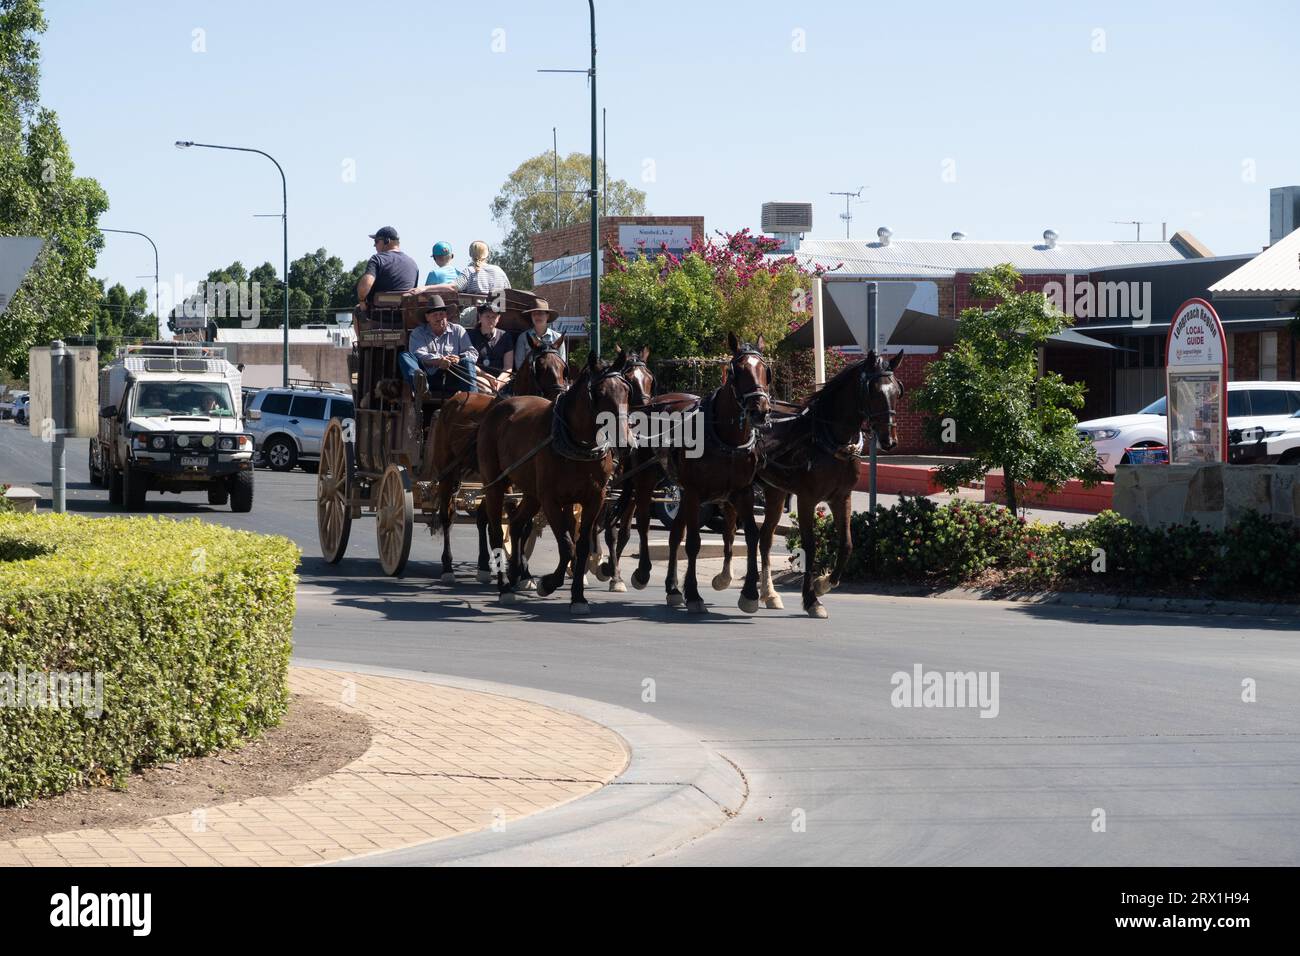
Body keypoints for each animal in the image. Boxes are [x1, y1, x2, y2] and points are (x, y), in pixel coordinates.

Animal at [426, 332, 569, 582]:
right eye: (541, 366)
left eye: (562, 366)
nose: (559, 395)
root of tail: (452, 400)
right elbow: (512, 518)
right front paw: (517, 569)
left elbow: (521, 522)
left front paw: (523, 571)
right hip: (447, 471)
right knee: (447, 516)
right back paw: (448, 567)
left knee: (483, 517)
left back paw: (484, 564)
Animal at [475, 351, 631, 613]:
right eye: (600, 393)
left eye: (626, 390)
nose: (626, 439)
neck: (577, 443)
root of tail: (498, 407)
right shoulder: (551, 499)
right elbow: (567, 545)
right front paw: (548, 584)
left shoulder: (594, 499)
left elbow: (581, 545)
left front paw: (578, 597)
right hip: (496, 485)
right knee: (495, 531)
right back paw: (505, 586)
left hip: (531, 493)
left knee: (516, 525)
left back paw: (517, 574)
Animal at [603, 329, 764, 613]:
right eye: (739, 371)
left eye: (764, 369)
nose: (760, 409)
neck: (725, 437)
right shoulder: (695, 491)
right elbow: (693, 543)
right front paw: (694, 593)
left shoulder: (741, 492)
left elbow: (752, 536)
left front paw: (749, 594)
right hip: (647, 479)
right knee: (642, 523)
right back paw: (642, 572)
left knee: (672, 533)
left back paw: (671, 587)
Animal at [754, 351, 904, 621]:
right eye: (874, 392)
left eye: (897, 392)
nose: (889, 441)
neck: (829, 438)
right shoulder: (806, 499)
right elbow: (810, 547)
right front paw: (811, 600)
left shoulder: (841, 497)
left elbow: (847, 545)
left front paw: (823, 584)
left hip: (775, 491)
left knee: (765, 538)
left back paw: (769, 594)